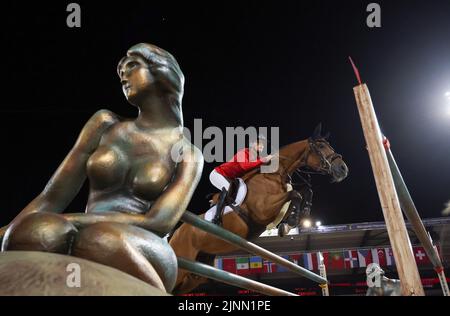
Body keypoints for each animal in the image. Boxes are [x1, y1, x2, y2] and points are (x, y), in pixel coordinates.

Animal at [169, 124, 348, 292]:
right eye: (321, 146)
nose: (343, 169)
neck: (275, 175)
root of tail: (174, 234)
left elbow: (304, 191)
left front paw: (294, 220)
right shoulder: (262, 209)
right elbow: (295, 194)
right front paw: (290, 222)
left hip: (194, 275)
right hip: (182, 264)